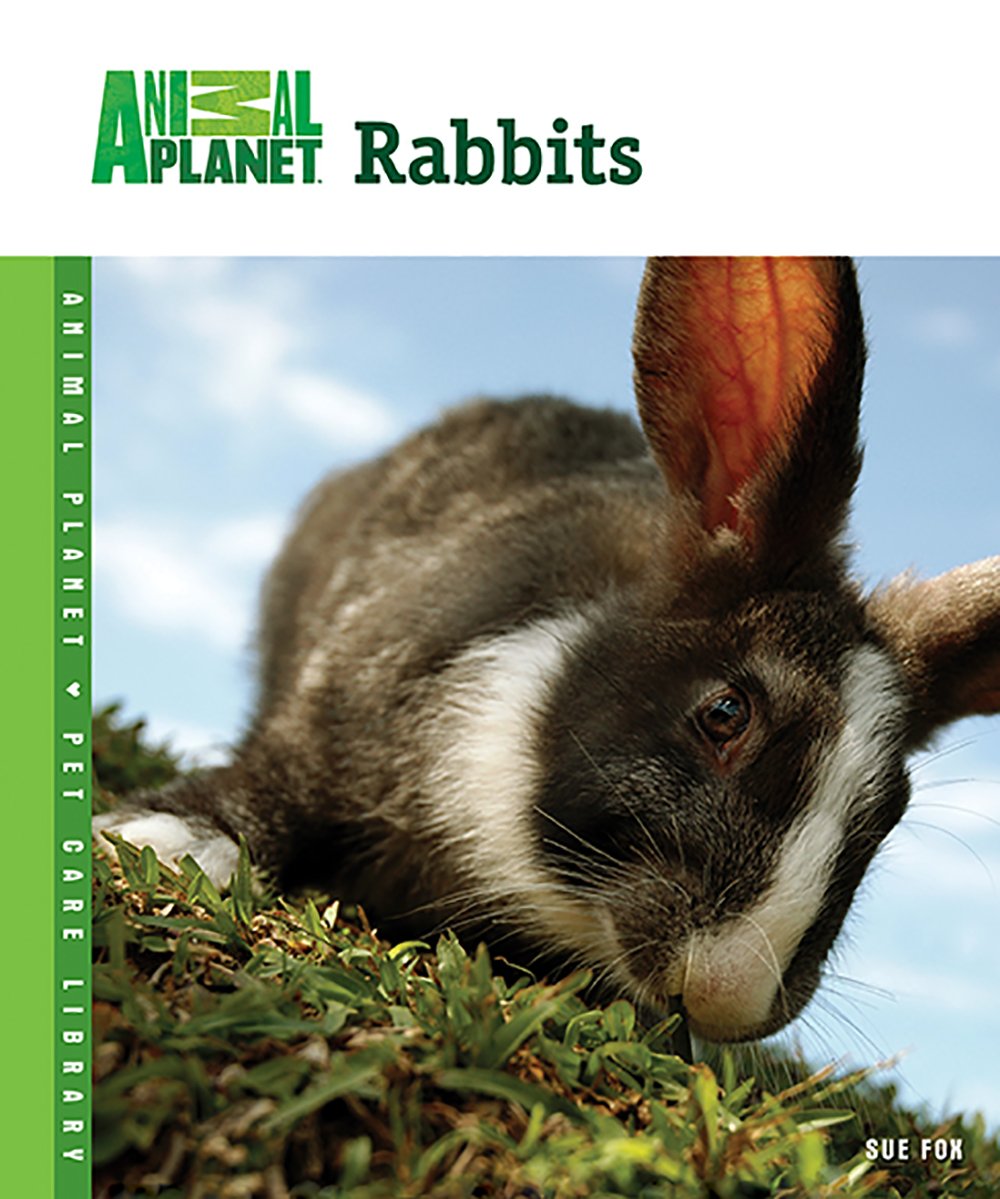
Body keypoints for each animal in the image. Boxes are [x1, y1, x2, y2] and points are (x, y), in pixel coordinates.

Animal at [95, 257, 1000, 1044]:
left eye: (892, 811)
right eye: (725, 712)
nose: (728, 988)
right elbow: (273, 783)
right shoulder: (330, 715)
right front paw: (165, 838)